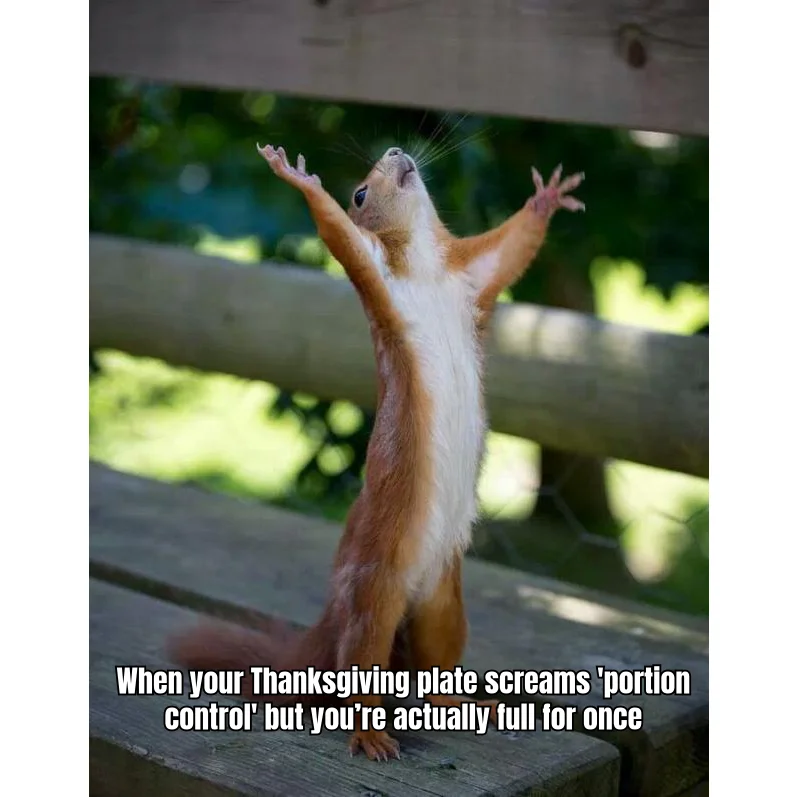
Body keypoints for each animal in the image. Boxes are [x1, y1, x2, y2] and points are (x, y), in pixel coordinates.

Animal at [168, 142, 584, 762]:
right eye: (360, 193)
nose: (395, 151)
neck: (427, 266)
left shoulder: (472, 275)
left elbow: (511, 249)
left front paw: (547, 197)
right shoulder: (376, 275)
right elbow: (339, 234)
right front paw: (299, 179)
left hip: (443, 602)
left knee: (434, 666)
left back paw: (462, 702)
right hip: (374, 591)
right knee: (359, 666)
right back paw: (370, 733)